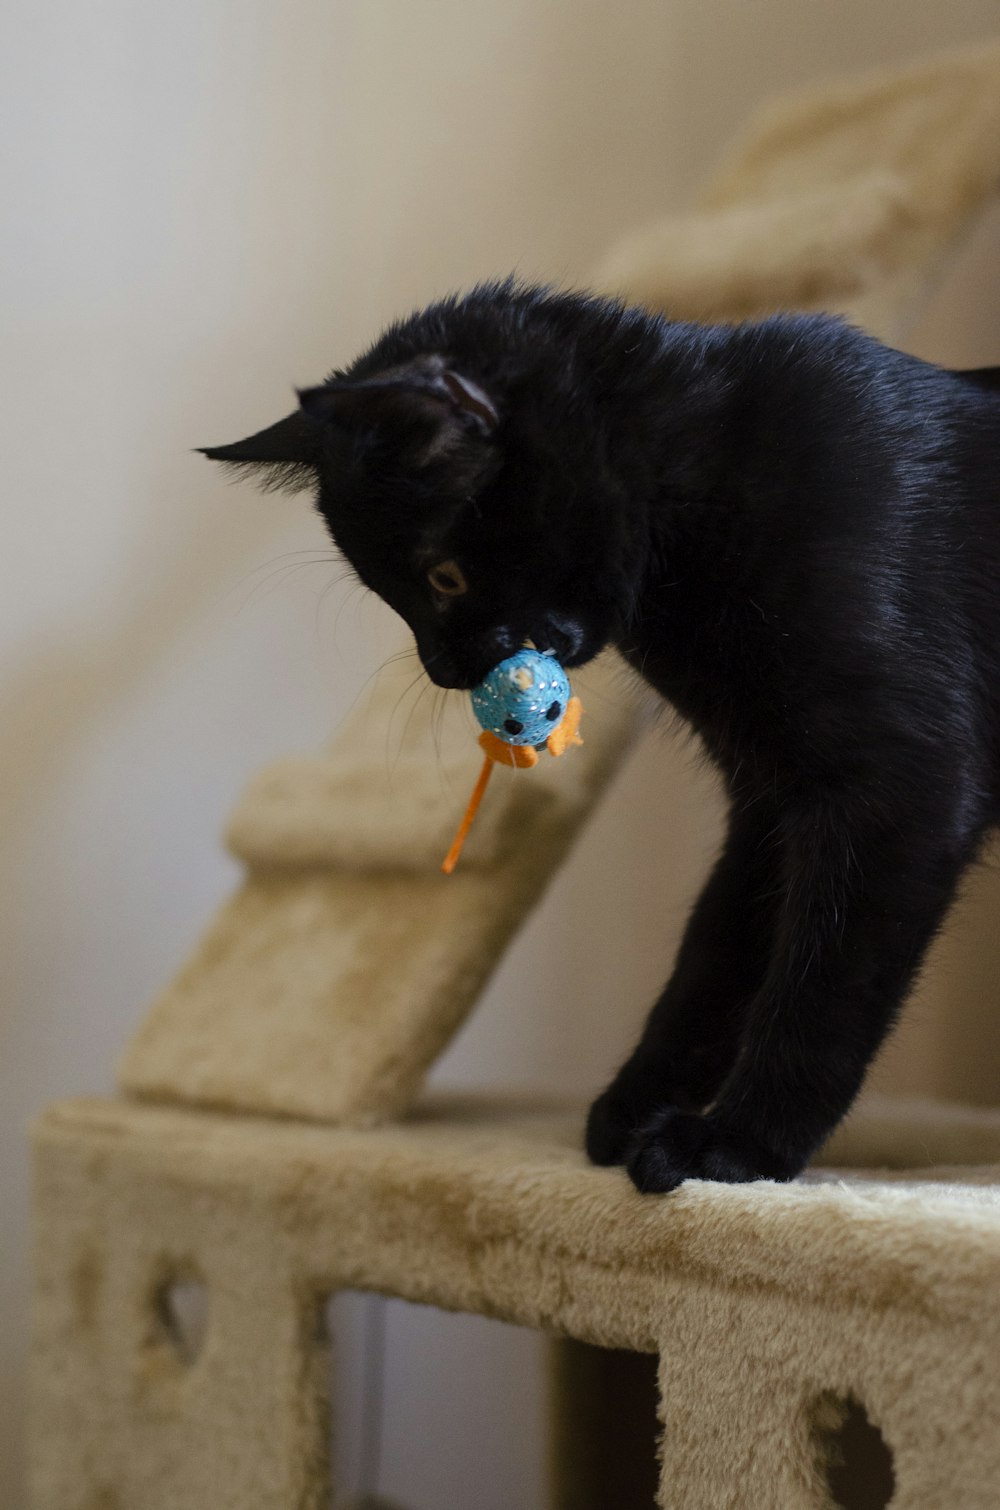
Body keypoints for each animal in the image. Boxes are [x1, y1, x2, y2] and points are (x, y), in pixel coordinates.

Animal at [205, 283, 1000, 1189]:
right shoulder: (769, 799)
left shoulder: (899, 784)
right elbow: (713, 955)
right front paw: (637, 1106)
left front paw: (739, 1143)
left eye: (443, 576)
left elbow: (824, 979)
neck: (703, 465)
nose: (442, 669)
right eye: (395, 593)